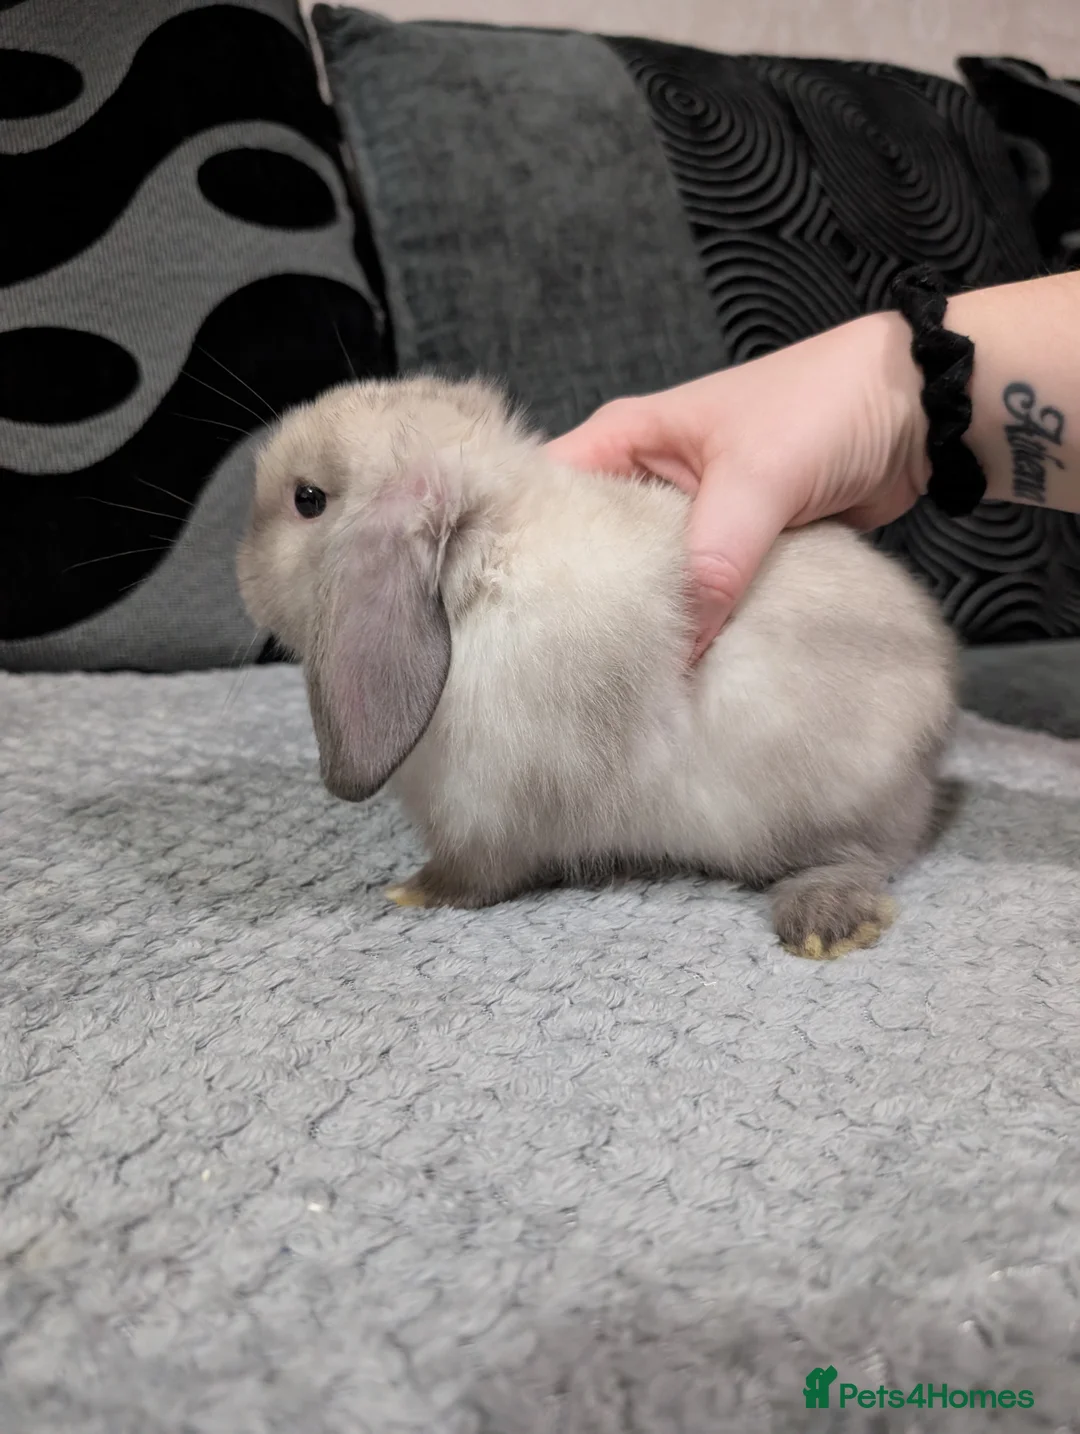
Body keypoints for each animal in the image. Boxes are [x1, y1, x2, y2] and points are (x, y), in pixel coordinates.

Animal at [237, 374, 957, 960]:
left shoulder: (482, 810)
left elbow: (474, 876)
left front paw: (412, 891)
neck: (484, 562)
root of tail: (934, 723)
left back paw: (821, 923)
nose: (240, 574)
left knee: (861, 858)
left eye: (308, 499)